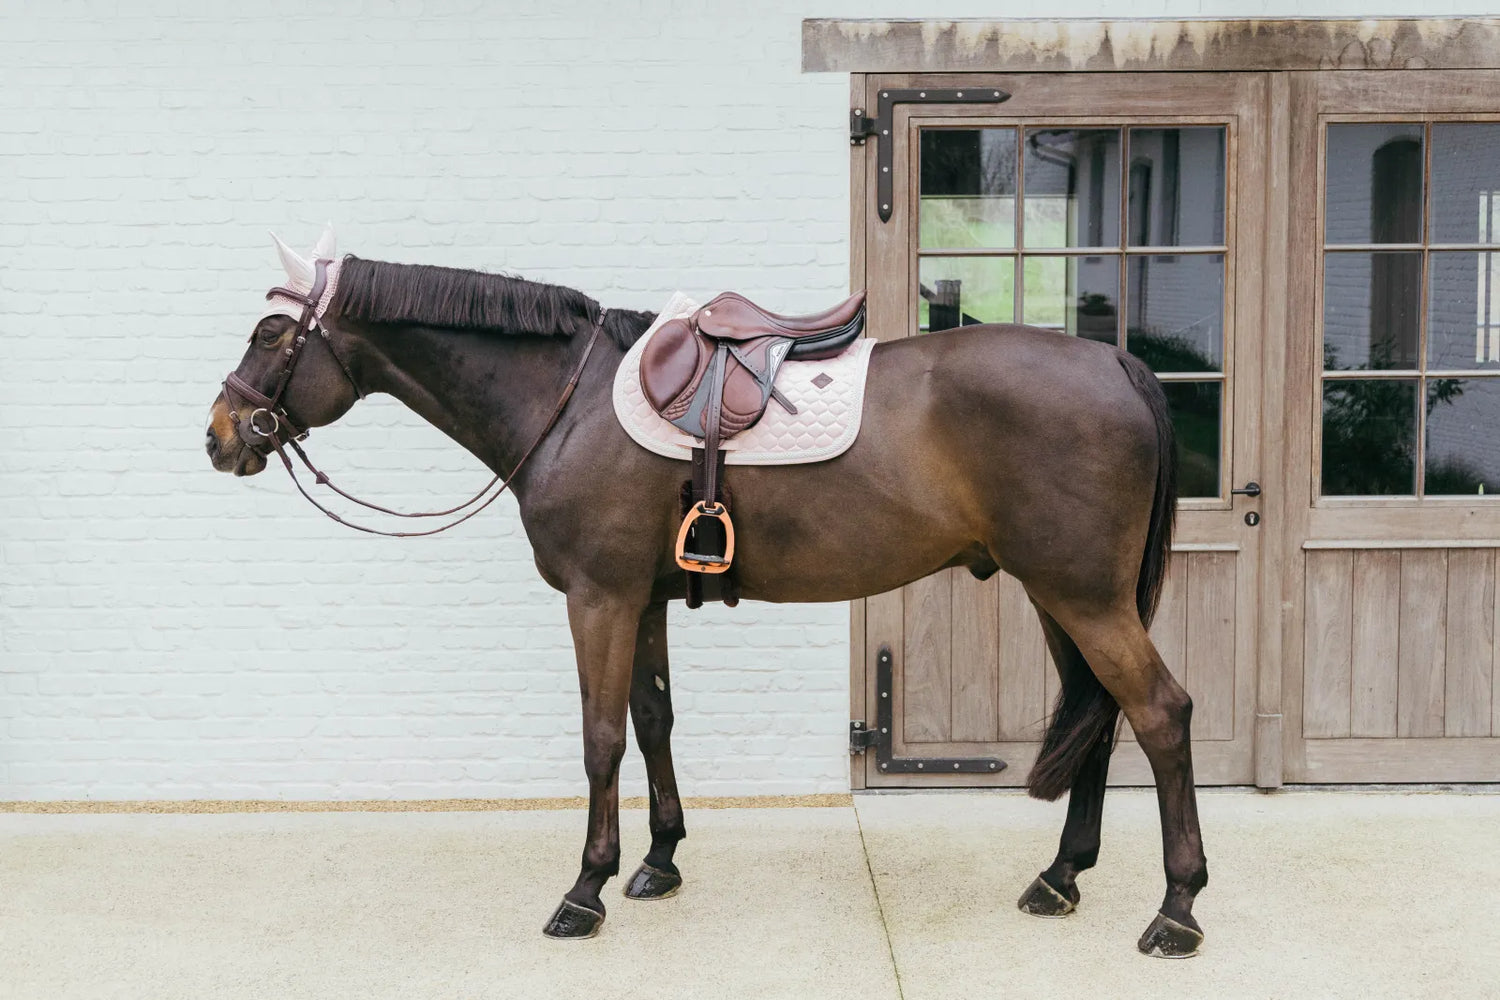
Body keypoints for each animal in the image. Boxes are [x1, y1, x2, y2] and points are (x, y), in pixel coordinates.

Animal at [202, 245, 1206, 959]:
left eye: (269, 335)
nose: (220, 435)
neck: (566, 404)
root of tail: (1118, 367)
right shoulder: (639, 599)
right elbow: (653, 721)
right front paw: (658, 861)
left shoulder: (598, 599)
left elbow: (600, 738)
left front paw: (585, 891)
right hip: (1059, 595)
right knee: (1100, 713)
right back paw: (1061, 877)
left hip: (1085, 597)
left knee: (1159, 713)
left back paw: (1177, 909)